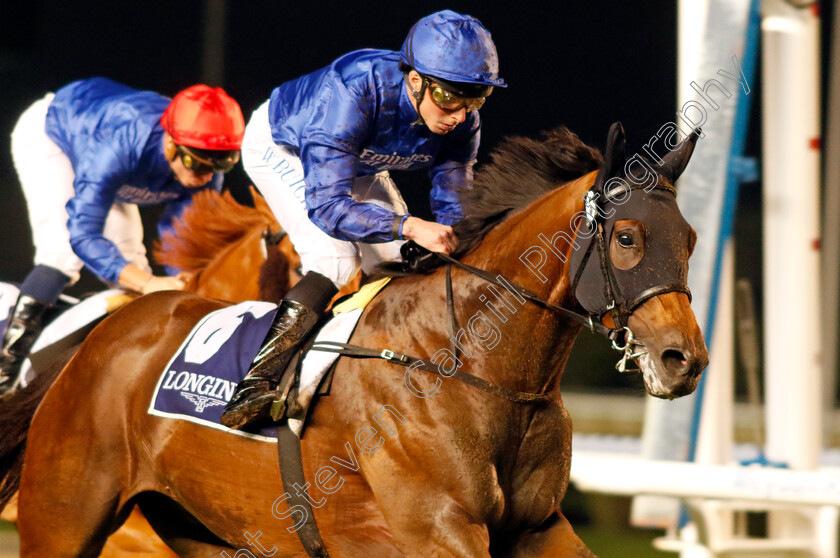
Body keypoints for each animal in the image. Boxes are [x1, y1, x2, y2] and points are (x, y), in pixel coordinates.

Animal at [0, 124, 708, 556]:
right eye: (627, 237)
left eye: (692, 240)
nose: (686, 360)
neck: (479, 366)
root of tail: (102, 335)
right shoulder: (438, 531)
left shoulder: (537, 528)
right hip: (63, 518)